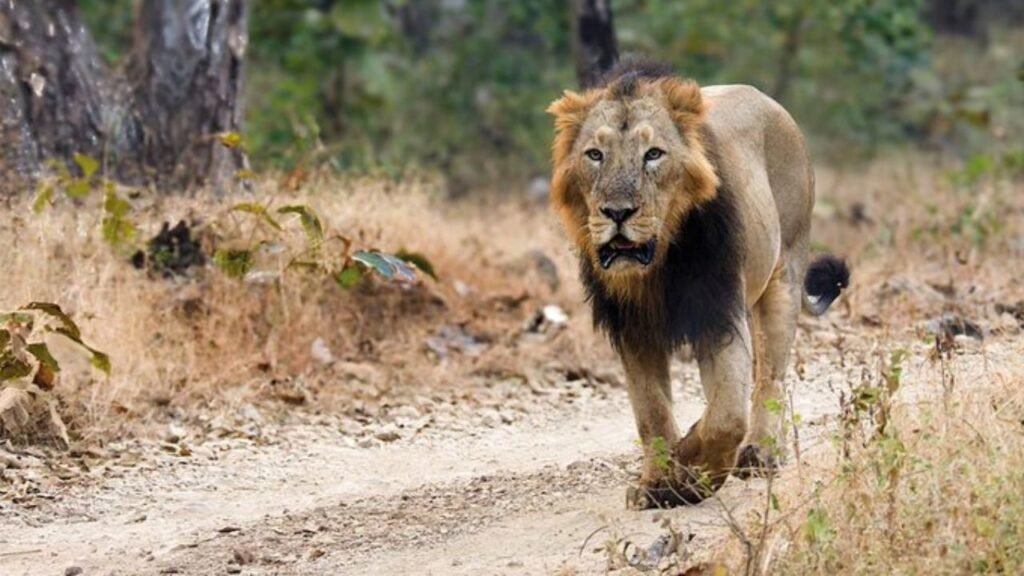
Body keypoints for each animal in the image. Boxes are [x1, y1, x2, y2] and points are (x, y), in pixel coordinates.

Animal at [547, 60, 849, 508]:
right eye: (595, 155)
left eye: (653, 154)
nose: (617, 212)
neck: (657, 267)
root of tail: (770, 101)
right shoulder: (632, 328)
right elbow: (651, 412)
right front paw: (658, 482)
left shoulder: (720, 314)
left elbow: (726, 416)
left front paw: (690, 469)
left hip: (786, 274)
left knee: (770, 377)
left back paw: (760, 454)